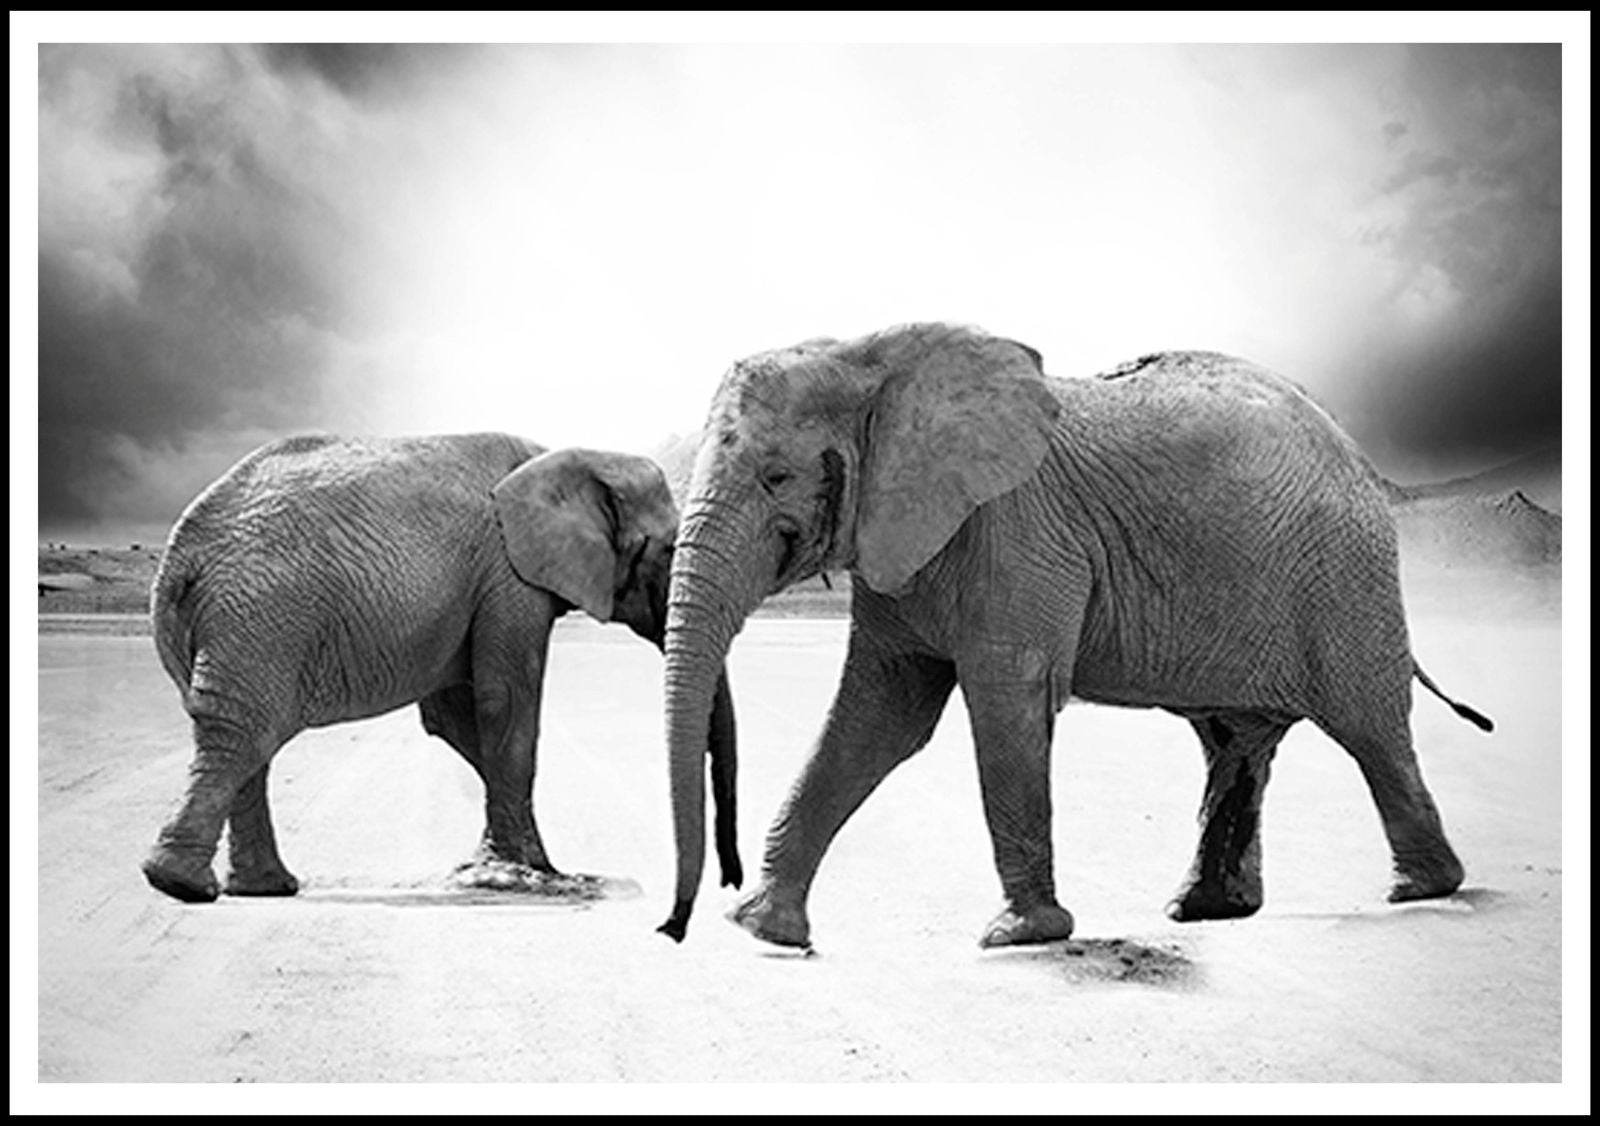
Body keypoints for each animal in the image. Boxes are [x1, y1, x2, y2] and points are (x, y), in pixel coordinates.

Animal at [141, 432, 742, 904]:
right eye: (670, 551)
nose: (730, 884)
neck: (567, 455)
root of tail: (179, 558)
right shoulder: (508, 576)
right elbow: (505, 705)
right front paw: (525, 873)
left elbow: (455, 717)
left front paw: (530, 865)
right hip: (261, 621)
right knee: (244, 736)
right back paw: (183, 885)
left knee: (243, 740)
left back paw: (258, 888)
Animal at [655, 322, 1491, 947]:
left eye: (776, 478)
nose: (673, 927)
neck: (870, 357)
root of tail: (1356, 453)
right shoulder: (905, 544)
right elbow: (879, 716)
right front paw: (763, 928)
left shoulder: (1018, 534)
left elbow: (1007, 701)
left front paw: (1022, 935)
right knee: (1235, 744)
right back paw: (1206, 910)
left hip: (1345, 578)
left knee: (1369, 727)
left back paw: (1421, 887)